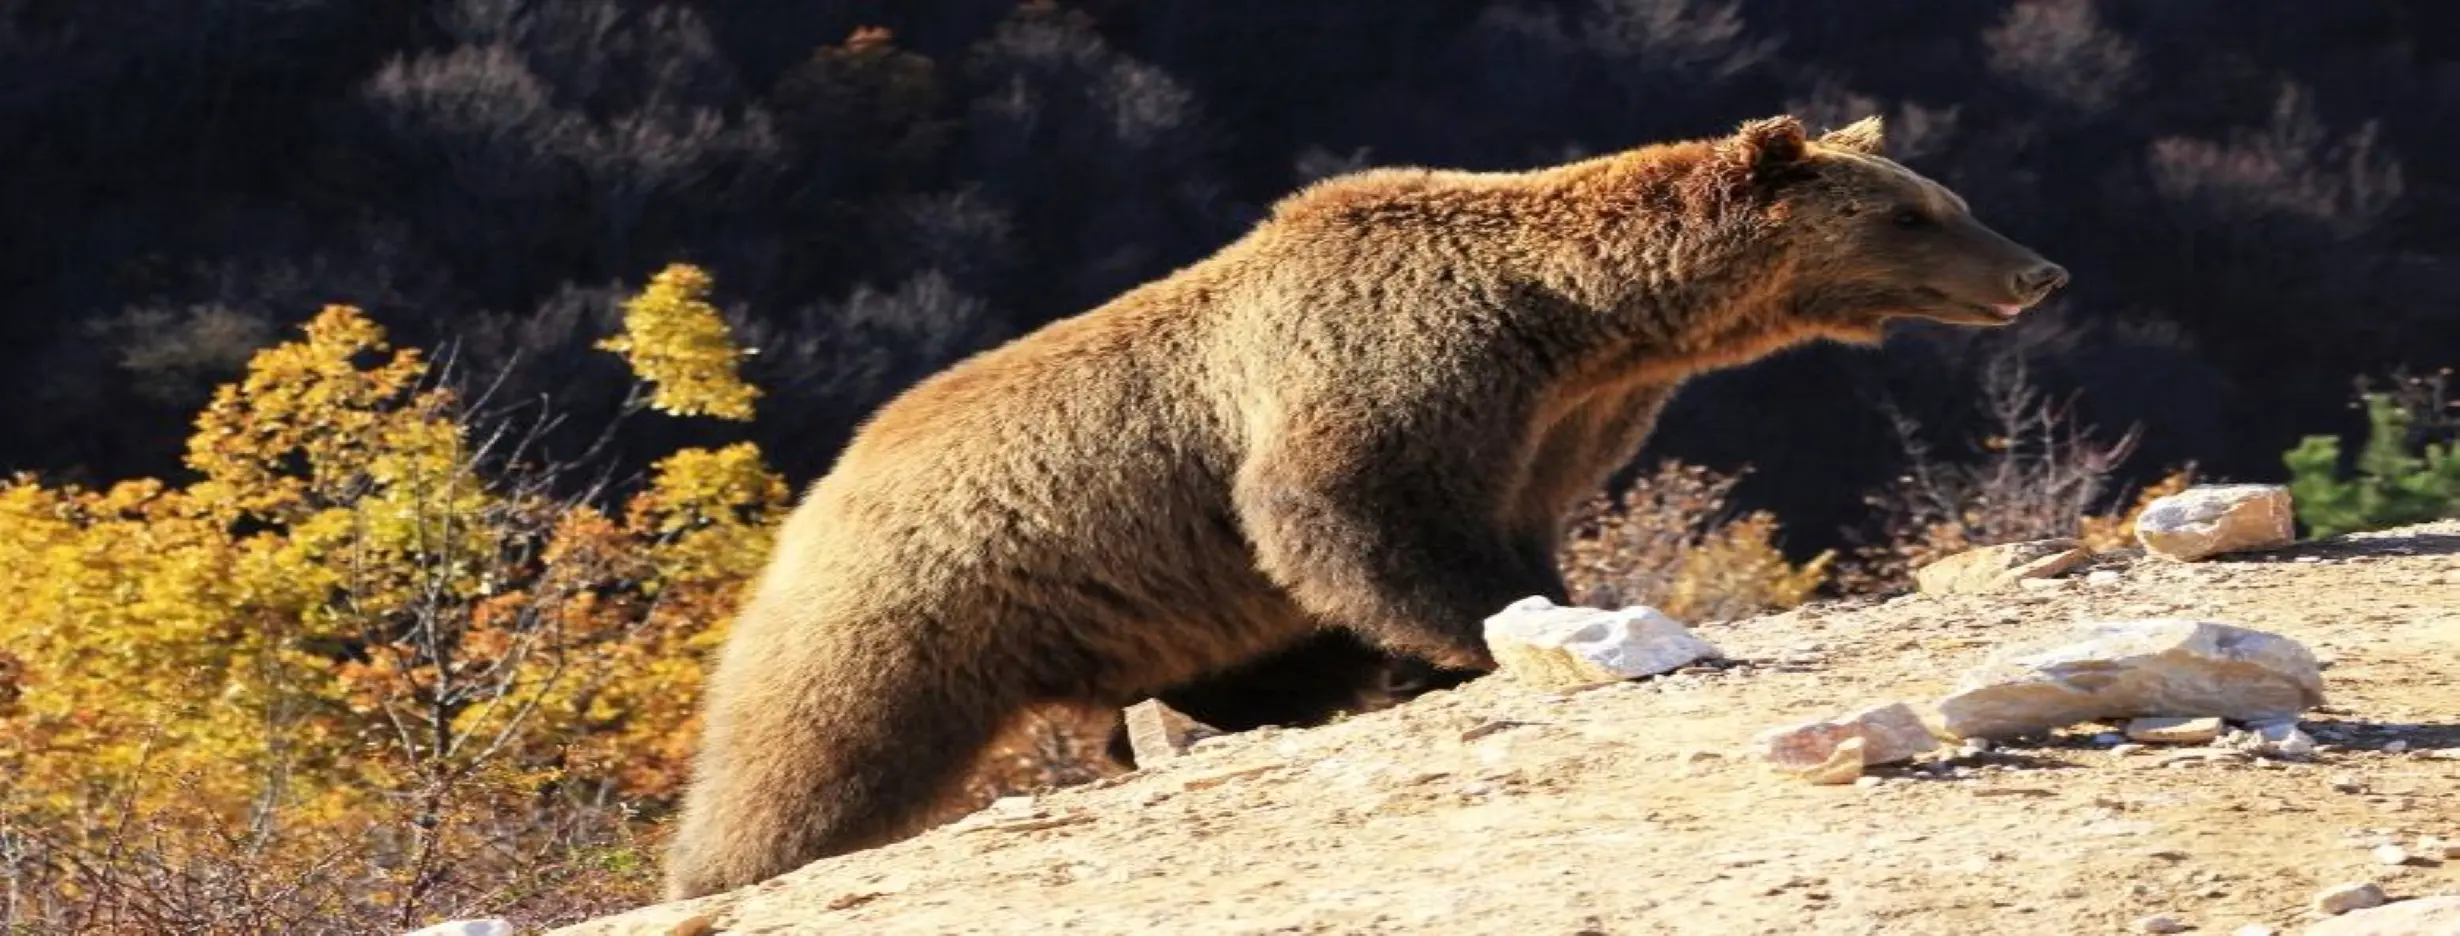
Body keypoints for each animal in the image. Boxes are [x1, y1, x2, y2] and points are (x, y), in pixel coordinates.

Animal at [662, 113, 2067, 900]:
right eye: (1911, 210)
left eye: (1945, 196)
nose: (2036, 269)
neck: (1573, 328)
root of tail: (816, 497)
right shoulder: (1389, 370)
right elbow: (1353, 515)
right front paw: (1474, 643)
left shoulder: (1553, 427)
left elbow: (1500, 536)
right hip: (915, 604)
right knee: (816, 749)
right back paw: (734, 859)